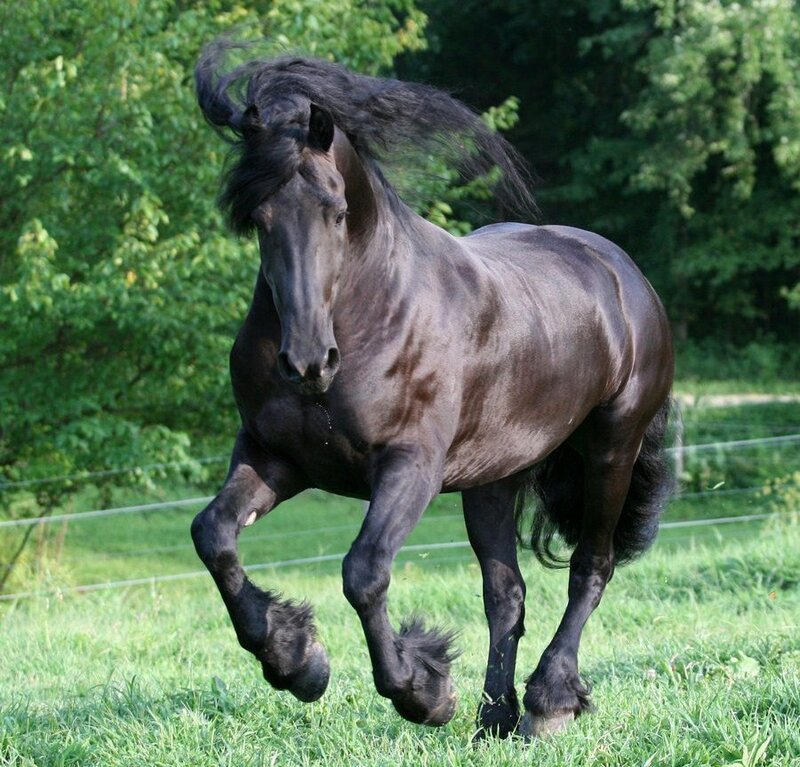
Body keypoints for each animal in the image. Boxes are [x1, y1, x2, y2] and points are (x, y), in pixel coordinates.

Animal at [190, 40, 674, 739]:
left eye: (338, 211)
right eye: (258, 216)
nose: (308, 362)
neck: (374, 314)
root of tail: (624, 274)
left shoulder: (409, 464)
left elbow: (364, 571)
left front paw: (422, 691)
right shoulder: (276, 458)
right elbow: (214, 537)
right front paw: (296, 660)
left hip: (612, 447)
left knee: (592, 567)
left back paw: (549, 701)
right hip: (494, 478)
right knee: (507, 594)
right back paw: (494, 718)